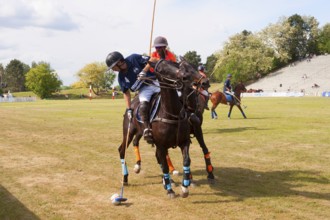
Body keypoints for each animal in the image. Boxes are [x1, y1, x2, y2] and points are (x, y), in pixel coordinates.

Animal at [117, 58, 202, 198]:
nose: (184, 77)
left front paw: (184, 188)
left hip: (141, 133)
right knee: (122, 149)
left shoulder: (184, 142)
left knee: (139, 144)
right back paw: (125, 178)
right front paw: (170, 190)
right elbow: (165, 166)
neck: (172, 114)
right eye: (161, 70)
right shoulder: (161, 145)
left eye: (175, 64)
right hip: (128, 131)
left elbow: (186, 161)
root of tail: (132, 103)